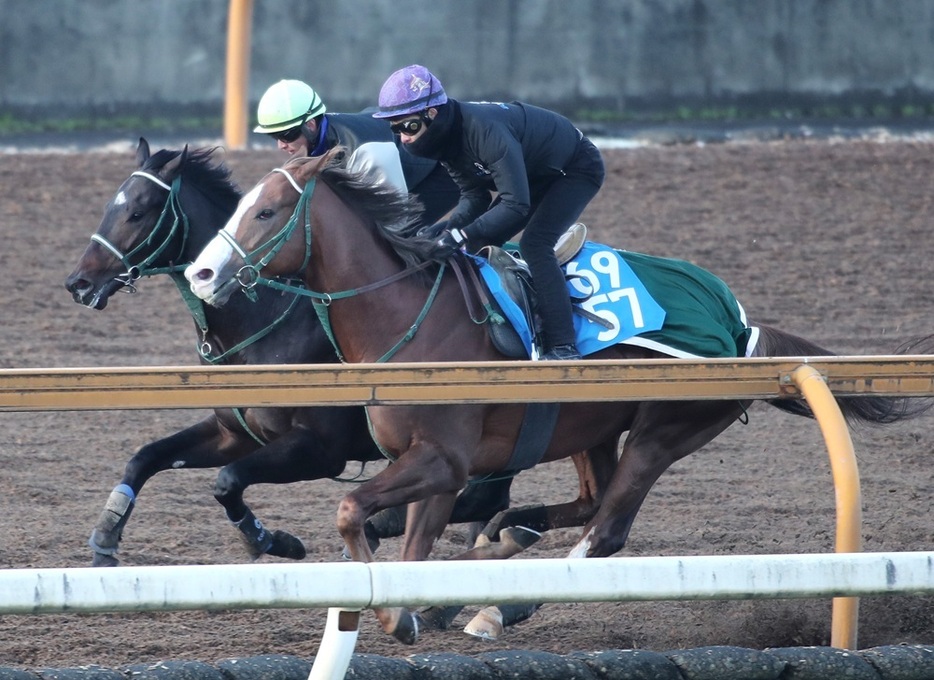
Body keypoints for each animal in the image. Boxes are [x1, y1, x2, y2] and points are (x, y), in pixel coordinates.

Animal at [185, 153, 928, 644]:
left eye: (267, 211)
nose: (202, 272)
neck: (409, 325)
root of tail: (744, 326)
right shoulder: (436, 469)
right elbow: (411, 546)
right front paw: (422, 601)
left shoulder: (443, 461)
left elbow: (352, 514)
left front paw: (407, 611)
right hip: (587, 428)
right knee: (589, 502)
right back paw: (508, 535)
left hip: (666, 430)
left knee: (607, 531)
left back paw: (501, 601)